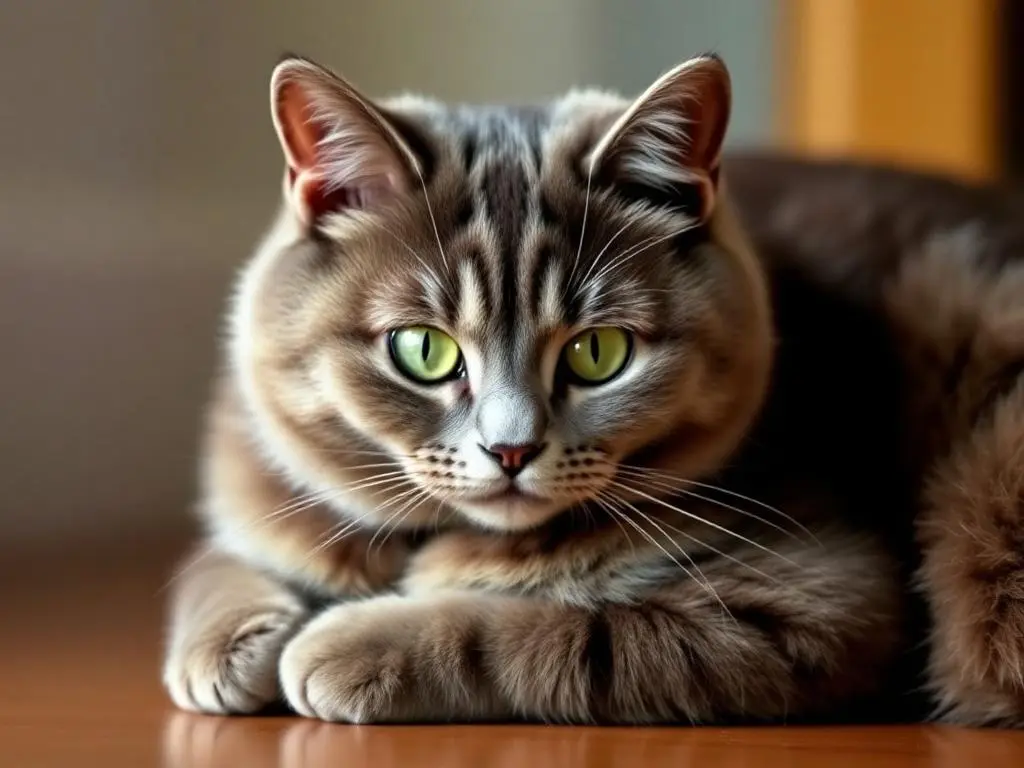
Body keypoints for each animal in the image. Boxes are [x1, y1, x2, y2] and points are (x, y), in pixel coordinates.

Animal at [159, 52, 1024, 729]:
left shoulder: (816, 595)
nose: (510, 449)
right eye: (424, 350)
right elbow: (218, 562)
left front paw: (353, 645)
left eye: (599, 352)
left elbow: (565, 629)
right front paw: (226, 640)